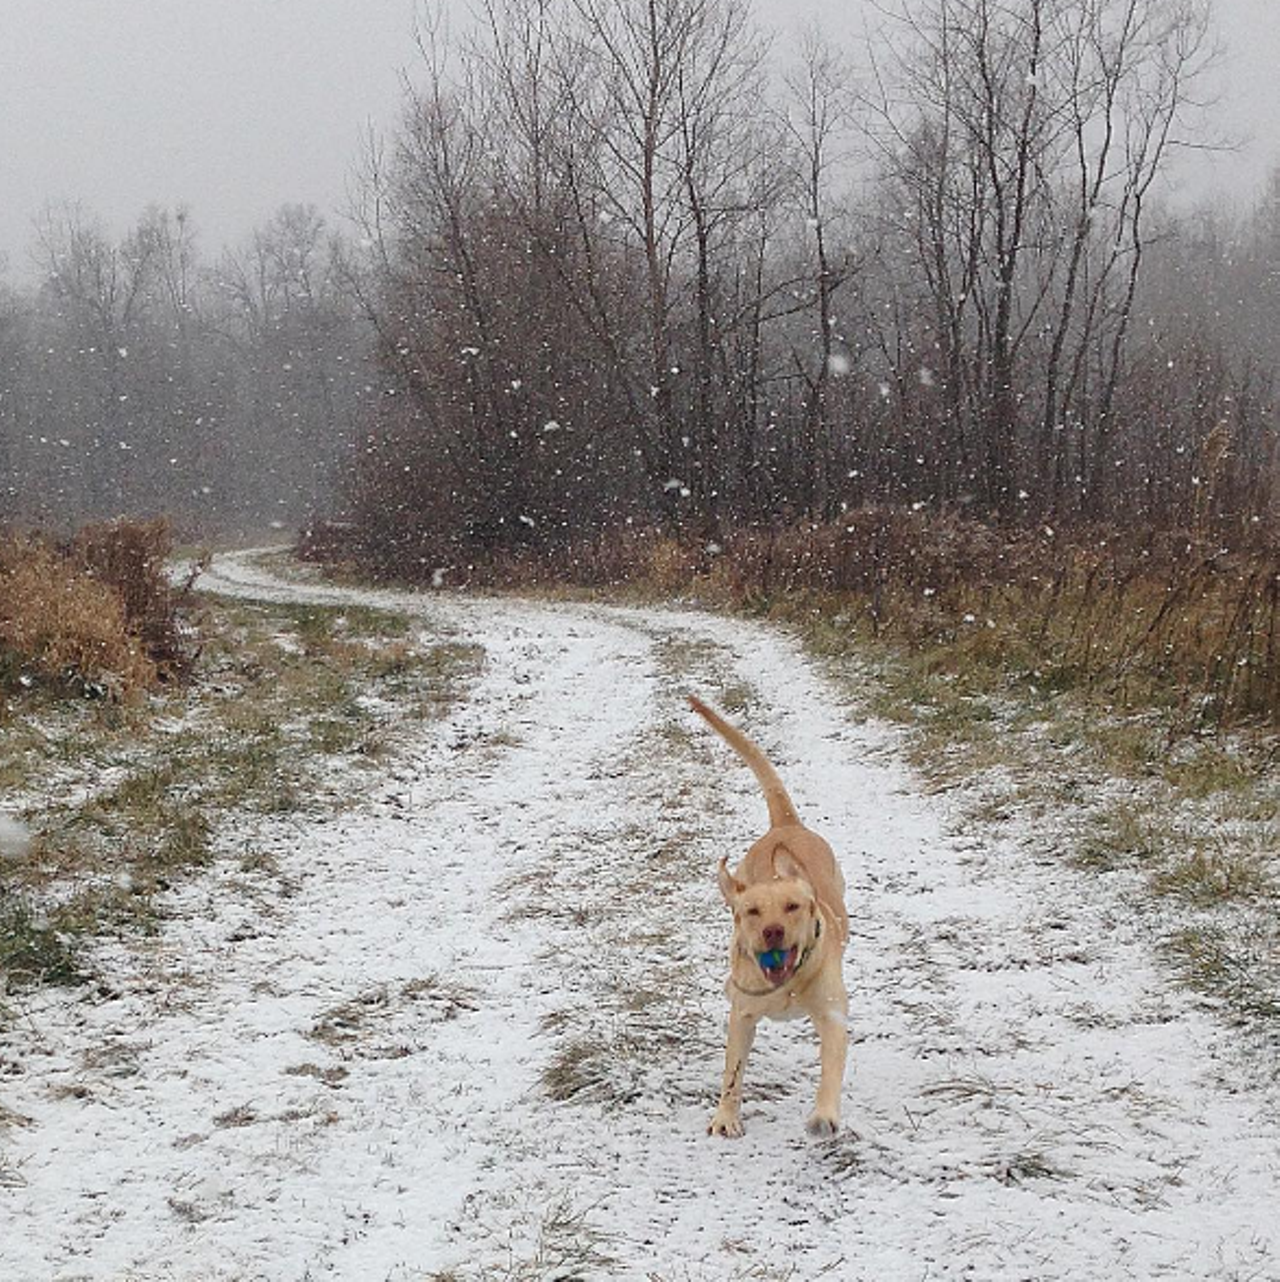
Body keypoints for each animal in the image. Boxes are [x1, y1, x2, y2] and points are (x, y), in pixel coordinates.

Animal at [692, 697, 851, 1138]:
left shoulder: (832, 1015)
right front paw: (725, 1118)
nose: (772, 932)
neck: (787, 984)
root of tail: (787, 826)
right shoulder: (743, 1016)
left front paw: (824, 1116)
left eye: (793, 906)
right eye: (752, 911)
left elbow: (831, 1068)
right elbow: (733, 1072)